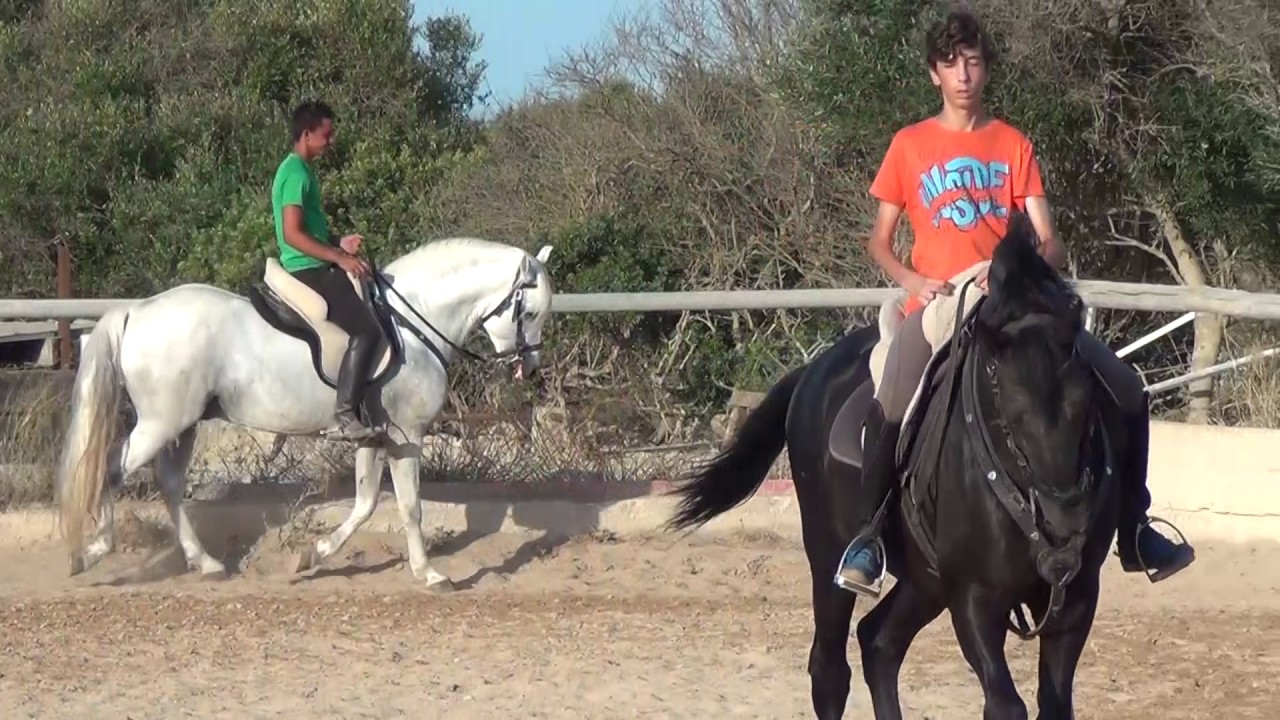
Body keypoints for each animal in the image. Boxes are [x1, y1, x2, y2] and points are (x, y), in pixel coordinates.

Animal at [56, 237, 555, 592]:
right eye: (529, 311)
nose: (527, 368)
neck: (412, 325)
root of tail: (137, 310)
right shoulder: (406, 435)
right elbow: (410, 506)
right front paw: (430, 574)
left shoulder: (373, 435)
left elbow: (365, 502)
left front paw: (312, 555)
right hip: (162, 423)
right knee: (112, 468)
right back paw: (92, 551)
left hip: (184, 424)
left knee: (170, 484)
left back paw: (206, 562)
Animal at [665, 215, 1127, 719]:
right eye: (1009, 416)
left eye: (1087, 404)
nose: (1063, 535)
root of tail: (813, 372)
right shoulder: (974, 598)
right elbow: (1005, 705)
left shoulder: (1076, 600)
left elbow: (1055, 703)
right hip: (830, 554)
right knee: (830, 668)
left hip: (924, 581)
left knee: (879, 642)